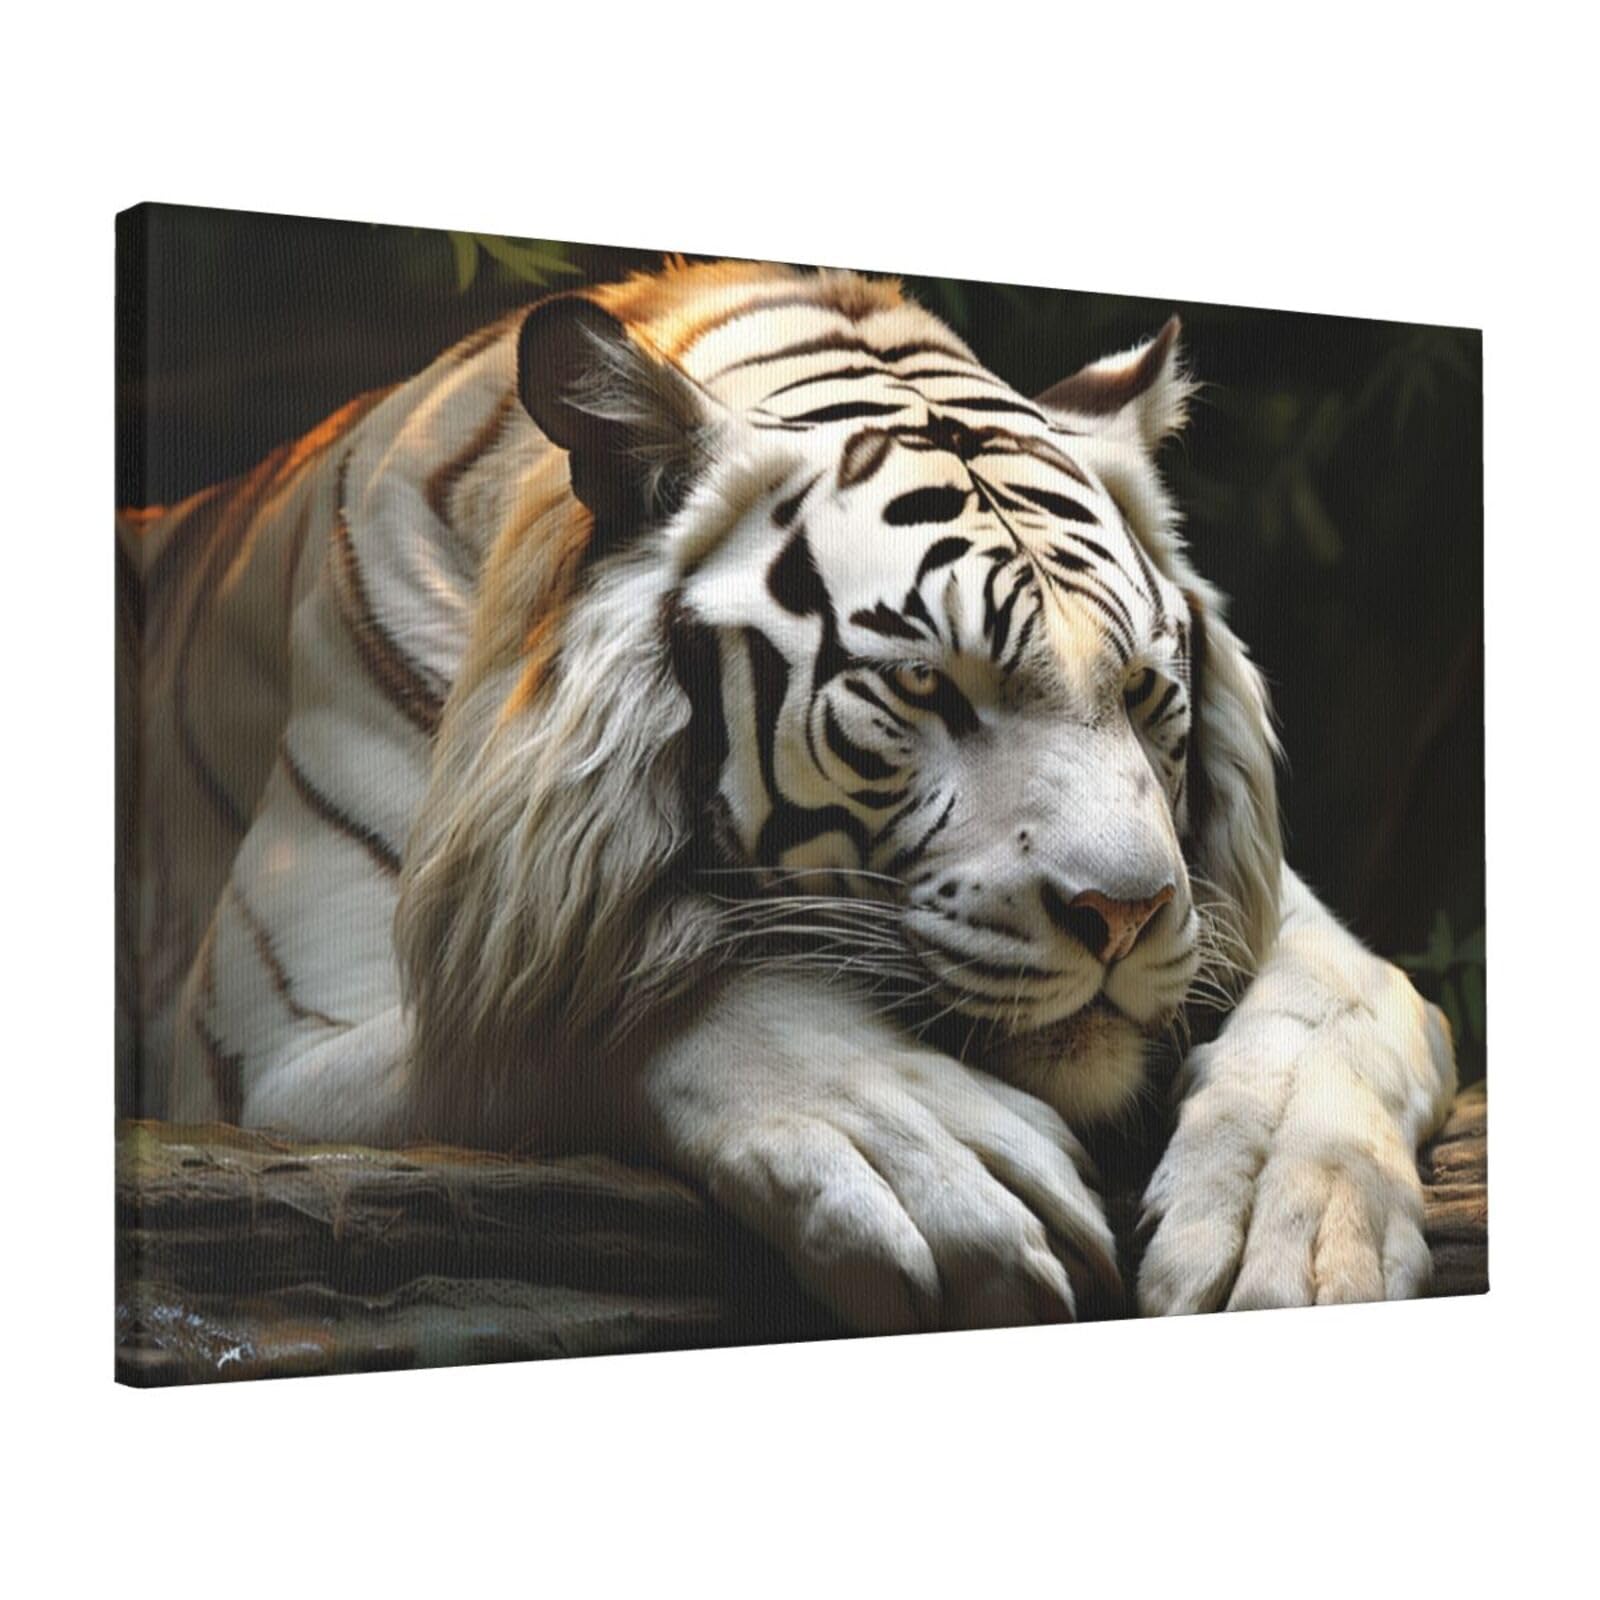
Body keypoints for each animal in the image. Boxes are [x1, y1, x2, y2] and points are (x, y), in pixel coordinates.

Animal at [120, 257, 1457, 1330]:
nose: (1123, 916)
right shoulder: (272, 1047)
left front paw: (1289, 1218)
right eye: (924, 683)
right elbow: (602, 997)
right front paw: (928, 1159)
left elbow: (1343, 1001)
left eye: (1137, 689)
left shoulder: (1256, 909)